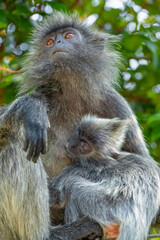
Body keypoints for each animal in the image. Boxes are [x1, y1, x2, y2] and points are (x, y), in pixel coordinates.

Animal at [0, 11, 159, 240]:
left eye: (68, 36)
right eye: (49, 42)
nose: (57, 42)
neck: (71, 94)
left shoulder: (115, 102)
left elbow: (143, 165)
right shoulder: (43, 93)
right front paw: (31, 107)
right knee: (17, 139)